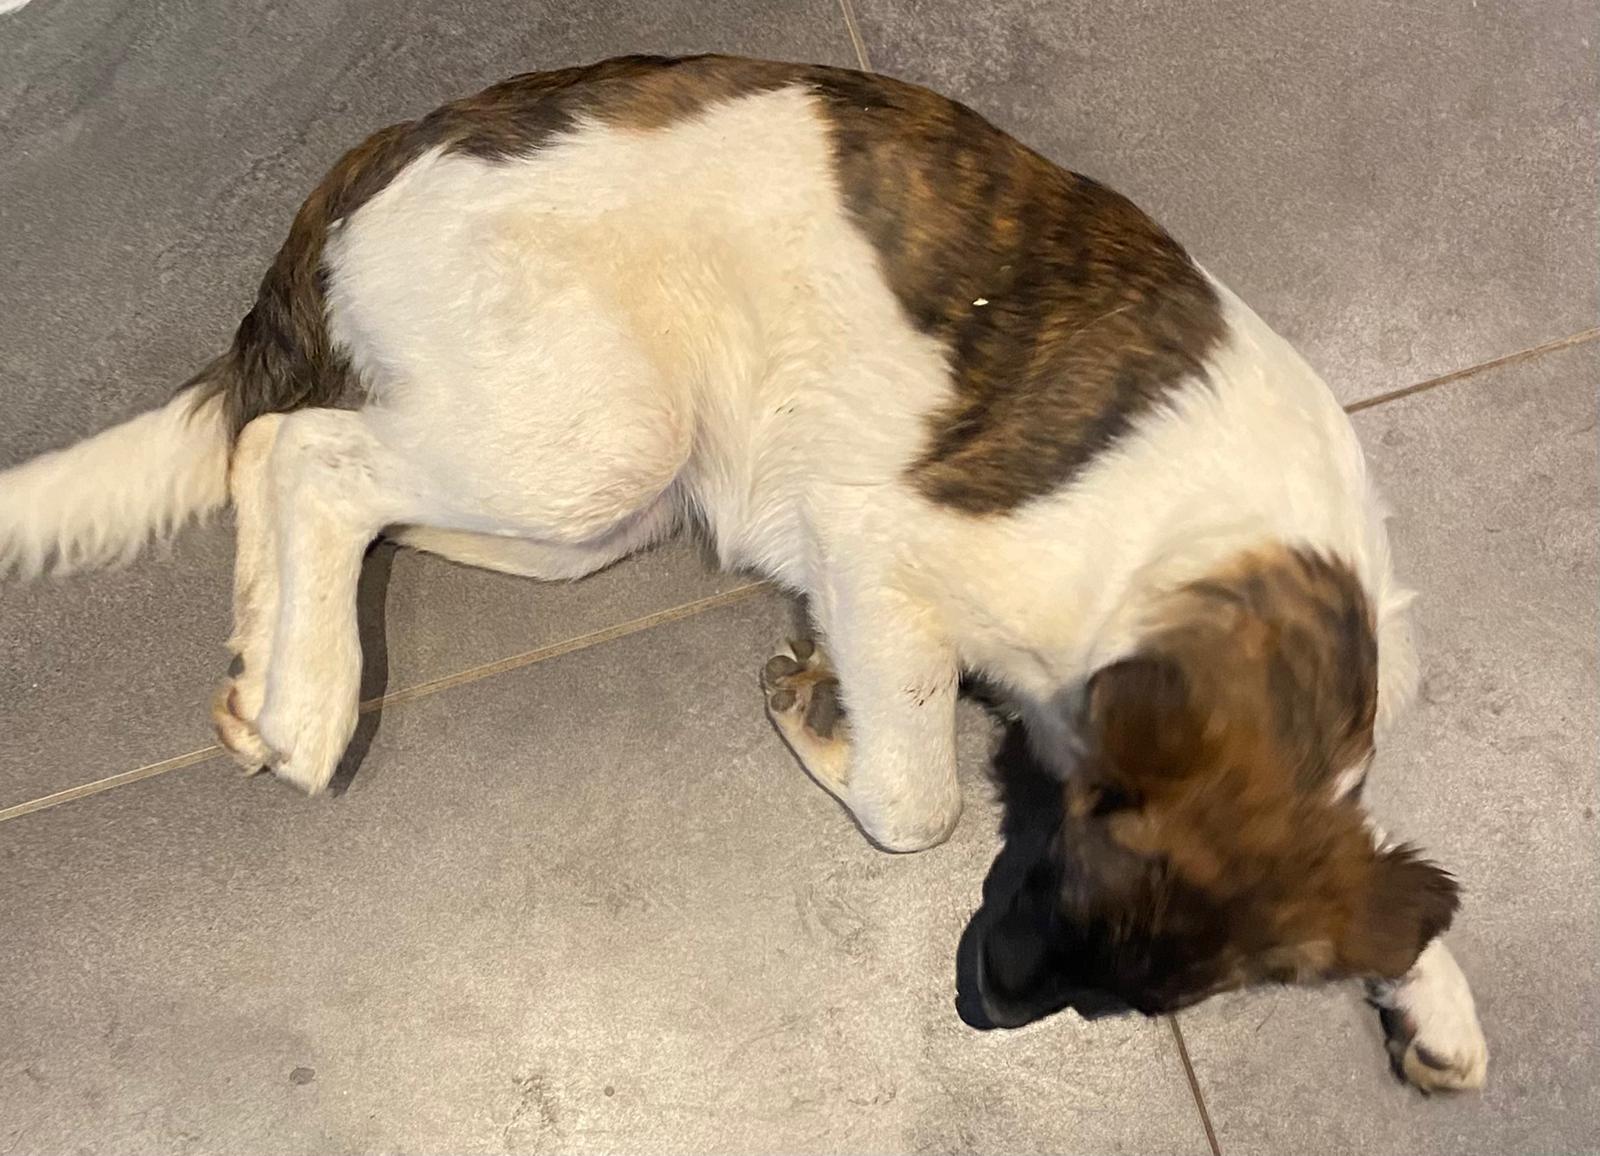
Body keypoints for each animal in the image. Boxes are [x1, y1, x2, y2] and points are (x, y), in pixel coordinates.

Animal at [0, 54, 1486, 1091]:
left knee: (320, 467)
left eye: (1139, 998)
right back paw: (305, 703)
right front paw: (826, 722)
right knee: (306, 449)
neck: (1243, 566)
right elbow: (918, 799)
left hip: (591, 486)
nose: (983, 1010)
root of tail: (394, 144)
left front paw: (1436, 999)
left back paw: (276, 659)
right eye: (1051, 881)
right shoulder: (878, 546)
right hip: (597, 432)